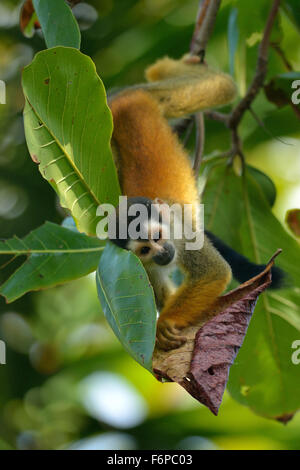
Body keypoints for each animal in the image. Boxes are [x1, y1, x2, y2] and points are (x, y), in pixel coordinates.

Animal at [108, 55, 284, 350]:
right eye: (145, 250)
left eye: (158, 236)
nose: (162, 253)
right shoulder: (140, 267)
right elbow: (159, 291)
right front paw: (165, 319)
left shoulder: (182, 232)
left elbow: (215, 272)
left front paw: (163, 325)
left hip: (148, 96)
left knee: (221, 87)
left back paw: (174, 65)